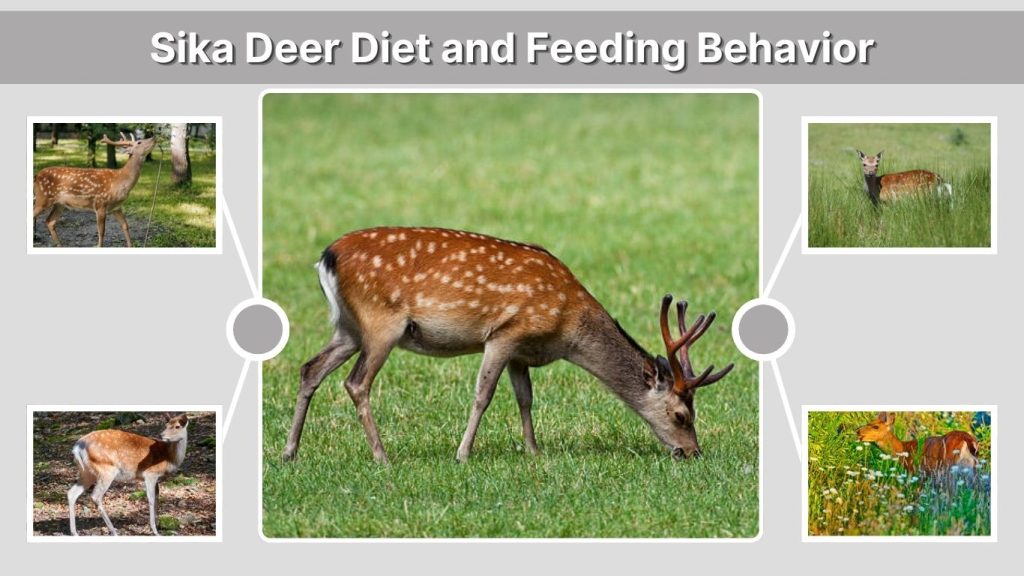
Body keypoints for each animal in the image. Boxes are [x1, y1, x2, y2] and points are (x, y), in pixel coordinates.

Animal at [283, 227, 734, 464]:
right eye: (681, 415)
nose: (692, 452)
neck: (565, 327)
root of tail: (327, 257)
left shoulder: (522, 352)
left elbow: (525, 398)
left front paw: (533, 451)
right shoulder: (506, 332)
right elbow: (483, 394)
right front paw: (463, 454)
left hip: (347, 328)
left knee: (310, 368)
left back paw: (290, 452)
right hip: (381, 324)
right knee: (357, 383)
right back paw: (381, 456)